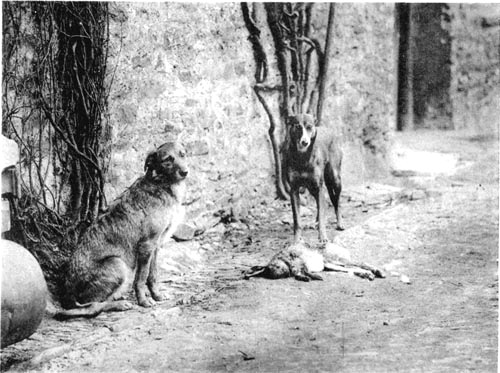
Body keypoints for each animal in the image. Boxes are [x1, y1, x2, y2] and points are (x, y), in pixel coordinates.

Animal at [56, 141, 188, 318]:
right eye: (168, 159)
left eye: (182, 154)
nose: (185, 172)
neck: (161, 185)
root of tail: (67, 294)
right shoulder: (146, 245)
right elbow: (141, 278)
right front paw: (143, 301)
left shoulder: (155, 246)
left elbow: (152, 275)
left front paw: (157, 295)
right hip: (117, 263)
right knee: (92, 307)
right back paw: (119, 304)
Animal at [284, 112, 342, 241]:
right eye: (298, 126)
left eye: (309, 127)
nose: (304, 142)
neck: (302, 157)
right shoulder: (294, 190)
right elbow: (297, 220)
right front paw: (296, 240)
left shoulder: (319, 187)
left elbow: (322, 215)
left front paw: (323, 237)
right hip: (312, 188)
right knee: (321, 205)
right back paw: (315, 222)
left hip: (335, 179)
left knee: (337, 202)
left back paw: (340, 223)